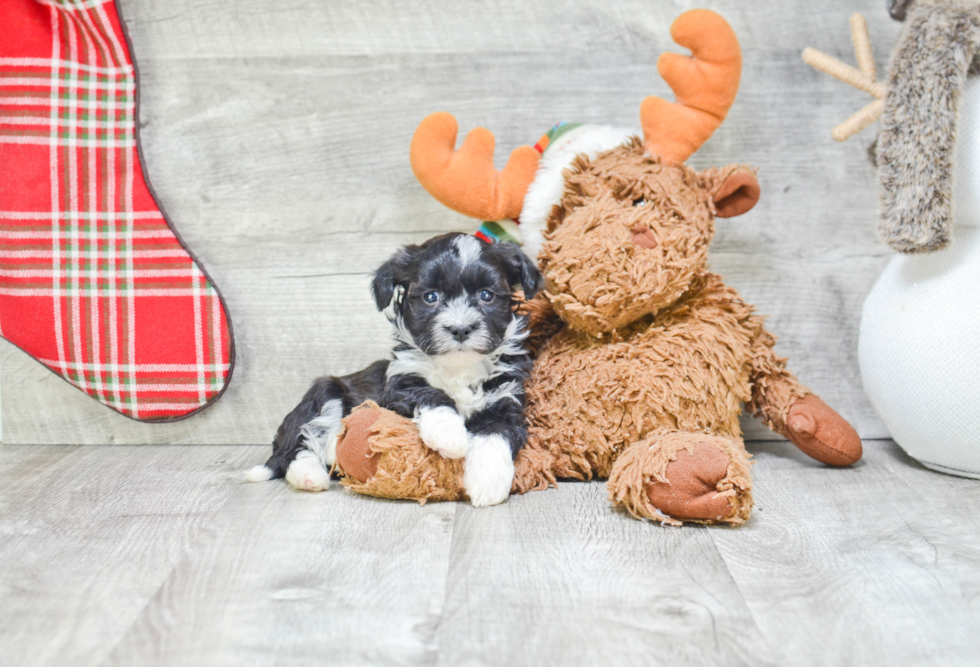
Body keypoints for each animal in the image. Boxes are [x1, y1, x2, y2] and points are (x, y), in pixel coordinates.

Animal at [245, 234, 544, 506]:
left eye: (486, 295)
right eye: (431, 297)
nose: (460, 329)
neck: (459, 368)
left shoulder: (507, 398)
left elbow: (497, 432)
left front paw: (488, 481)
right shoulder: (397, 387)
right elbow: (429, 393)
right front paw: (449, 434)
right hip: (323, 393)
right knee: (298, 447)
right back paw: (313, 471)